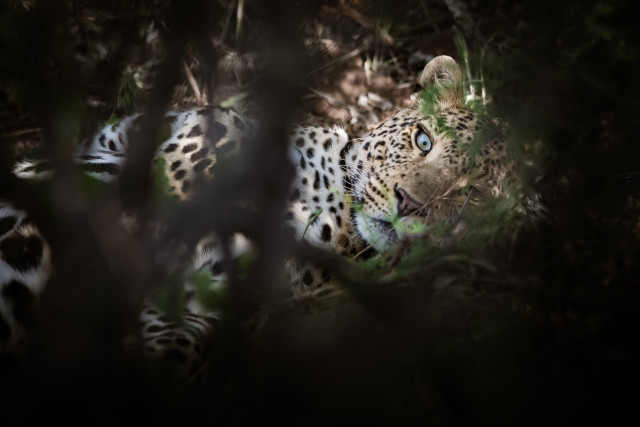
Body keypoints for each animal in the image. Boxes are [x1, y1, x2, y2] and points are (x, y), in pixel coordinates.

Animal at [0, 56, 514, 377]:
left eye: (469, 197)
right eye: (423, 139)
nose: (409, 204)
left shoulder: (198, 299)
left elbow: (177, 343)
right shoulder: (163, 148)